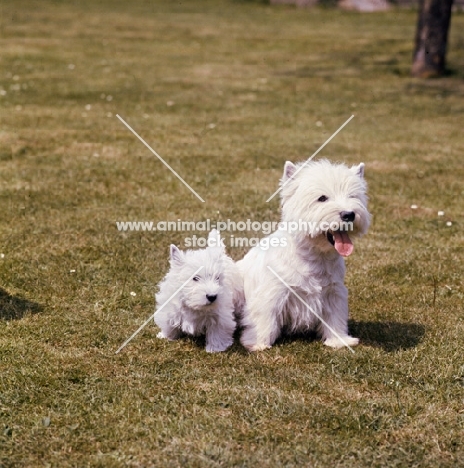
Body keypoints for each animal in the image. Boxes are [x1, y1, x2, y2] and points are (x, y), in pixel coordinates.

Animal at [239, 159, 370, 350]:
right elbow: (264, 319)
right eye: (322, 198)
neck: (315, 256)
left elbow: (335, 317)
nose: (349, 214)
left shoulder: (334, 290)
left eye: (353, 196)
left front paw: (339, 340)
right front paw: (258, 344)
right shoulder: (272, 292)